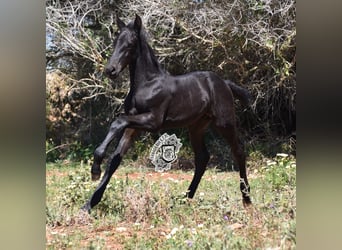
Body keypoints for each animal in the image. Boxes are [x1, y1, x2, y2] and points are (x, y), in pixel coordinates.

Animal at [81, 14, 251, 212]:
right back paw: (185, 199)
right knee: (202, 158)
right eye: (115, 41)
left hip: (225, 122)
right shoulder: (133, 127)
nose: (111, 70)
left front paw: (95, 169)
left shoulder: (153, 121)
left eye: (130, 43)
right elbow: (115, 160)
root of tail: (224, 82)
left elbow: (118, 122)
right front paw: (89, 204)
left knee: (238, 151)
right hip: (196, 127)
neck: (147, 84)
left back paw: (247, 199)